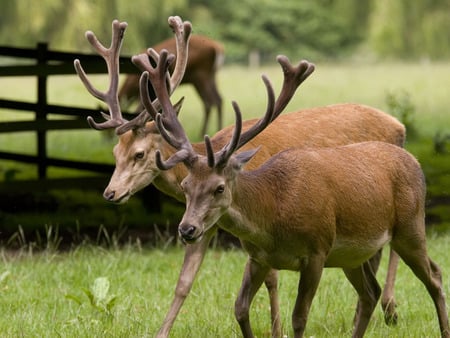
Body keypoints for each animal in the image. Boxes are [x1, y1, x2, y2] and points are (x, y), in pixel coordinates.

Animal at [75, 17, 406, 338]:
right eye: (116, 152)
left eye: (140, 154)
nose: (111, 193)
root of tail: (399, 126)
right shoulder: (206, 222)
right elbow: (184, 281)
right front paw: (161, 332)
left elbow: (272, 278)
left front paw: (277, 330)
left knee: (394, 244)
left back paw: (390, 308)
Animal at [149, 48, 448, 336]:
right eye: (186, 186)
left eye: (218, 187)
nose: (186, 229)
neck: (272, 218)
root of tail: (415, 161)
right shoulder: (258, 258)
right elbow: (240, 308)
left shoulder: (317, 250)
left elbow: (299, 317)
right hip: (352, 256)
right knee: (370, 293)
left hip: (410, 227)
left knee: (434, 275)